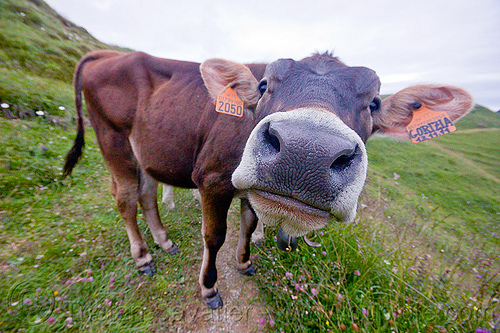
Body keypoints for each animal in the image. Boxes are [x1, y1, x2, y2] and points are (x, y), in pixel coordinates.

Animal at [63, 50, 472, 308]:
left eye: (373, 103)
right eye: (263, 86)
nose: (305, 152)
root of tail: (108, 55)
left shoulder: (252, 189)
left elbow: (247, 224)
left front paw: (244, 262)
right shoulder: (212, 178)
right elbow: (216, 236)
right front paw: (209, 288)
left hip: (147, 149)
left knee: (147, 194)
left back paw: (163, 241)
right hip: (113, 138)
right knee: (125, 197)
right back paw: (144, 256)